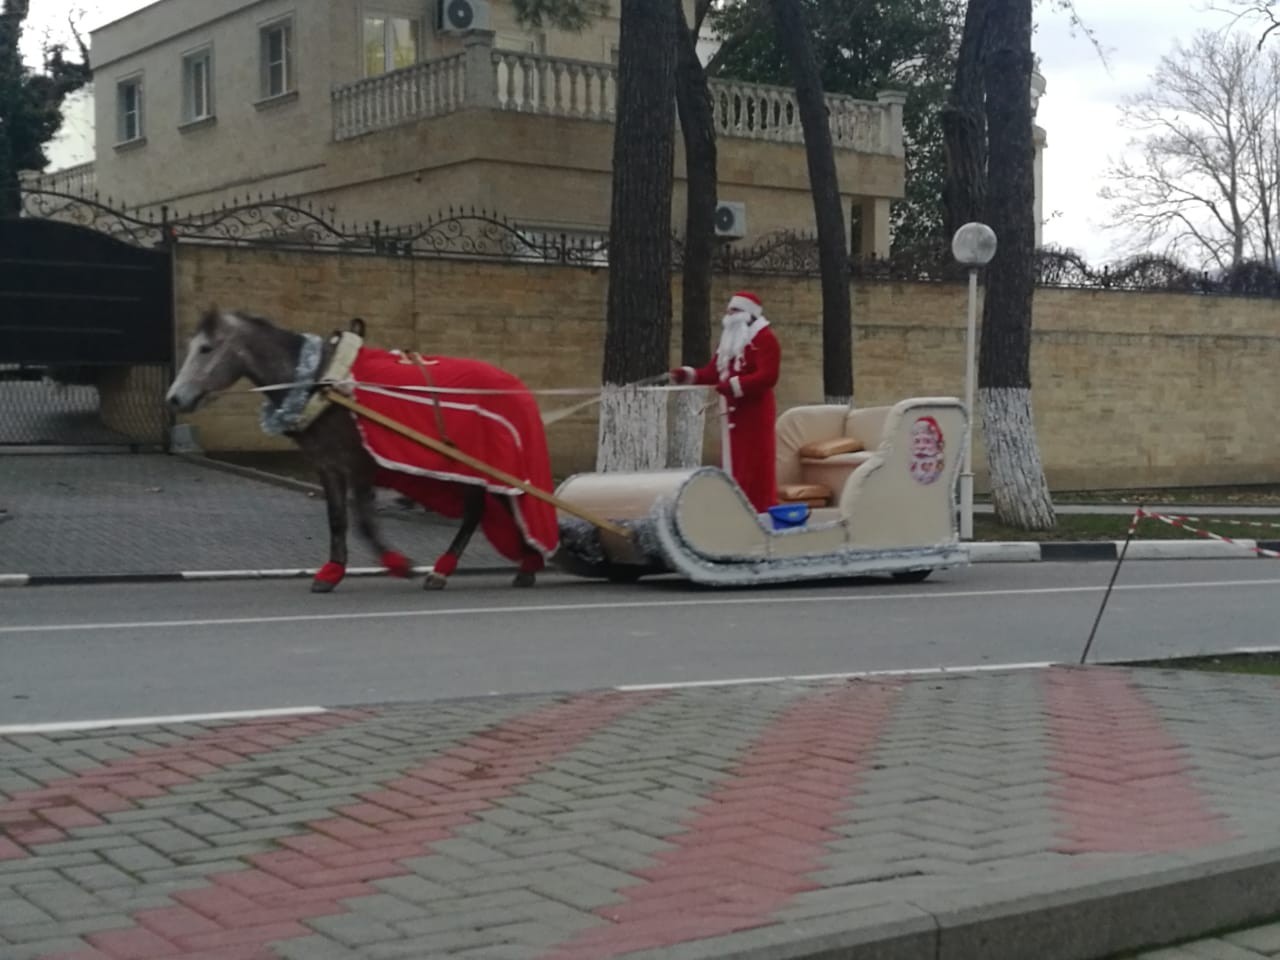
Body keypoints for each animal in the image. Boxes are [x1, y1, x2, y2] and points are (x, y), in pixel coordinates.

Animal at [166, 308, 555, 593]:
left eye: (206, 348)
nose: (175, 398)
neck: (321, 384)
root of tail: (514, 384)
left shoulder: (359, 463)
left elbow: (364, 520)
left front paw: (398, 563)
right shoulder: (328, 465)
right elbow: (338, 518)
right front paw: (331, 571)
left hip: (483, 466)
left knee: (492, 507)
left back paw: (473, 568)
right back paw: (517, 563)